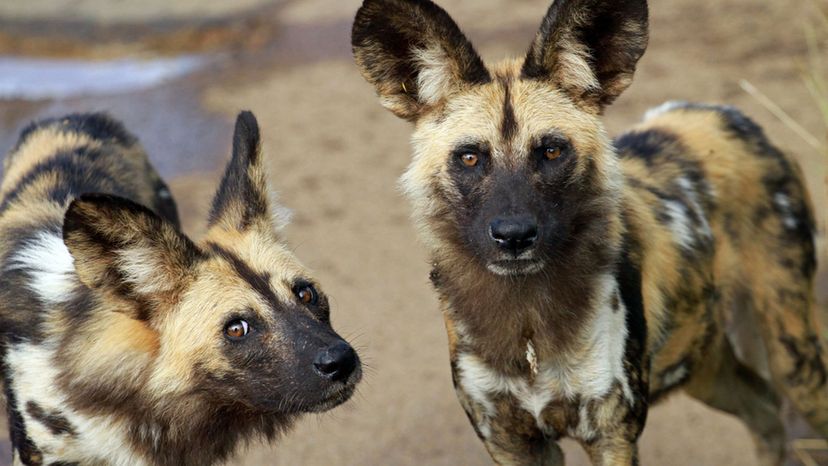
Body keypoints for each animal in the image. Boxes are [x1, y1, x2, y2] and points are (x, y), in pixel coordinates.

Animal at [350, 0, 828, 464]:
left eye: (551, 151)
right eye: (469, 158)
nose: (514, 235)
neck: (529, 326)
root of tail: (731, 116)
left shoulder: (612, 434)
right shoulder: (510, 441)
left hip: (793, 360)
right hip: (703, 365)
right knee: (764, 410)